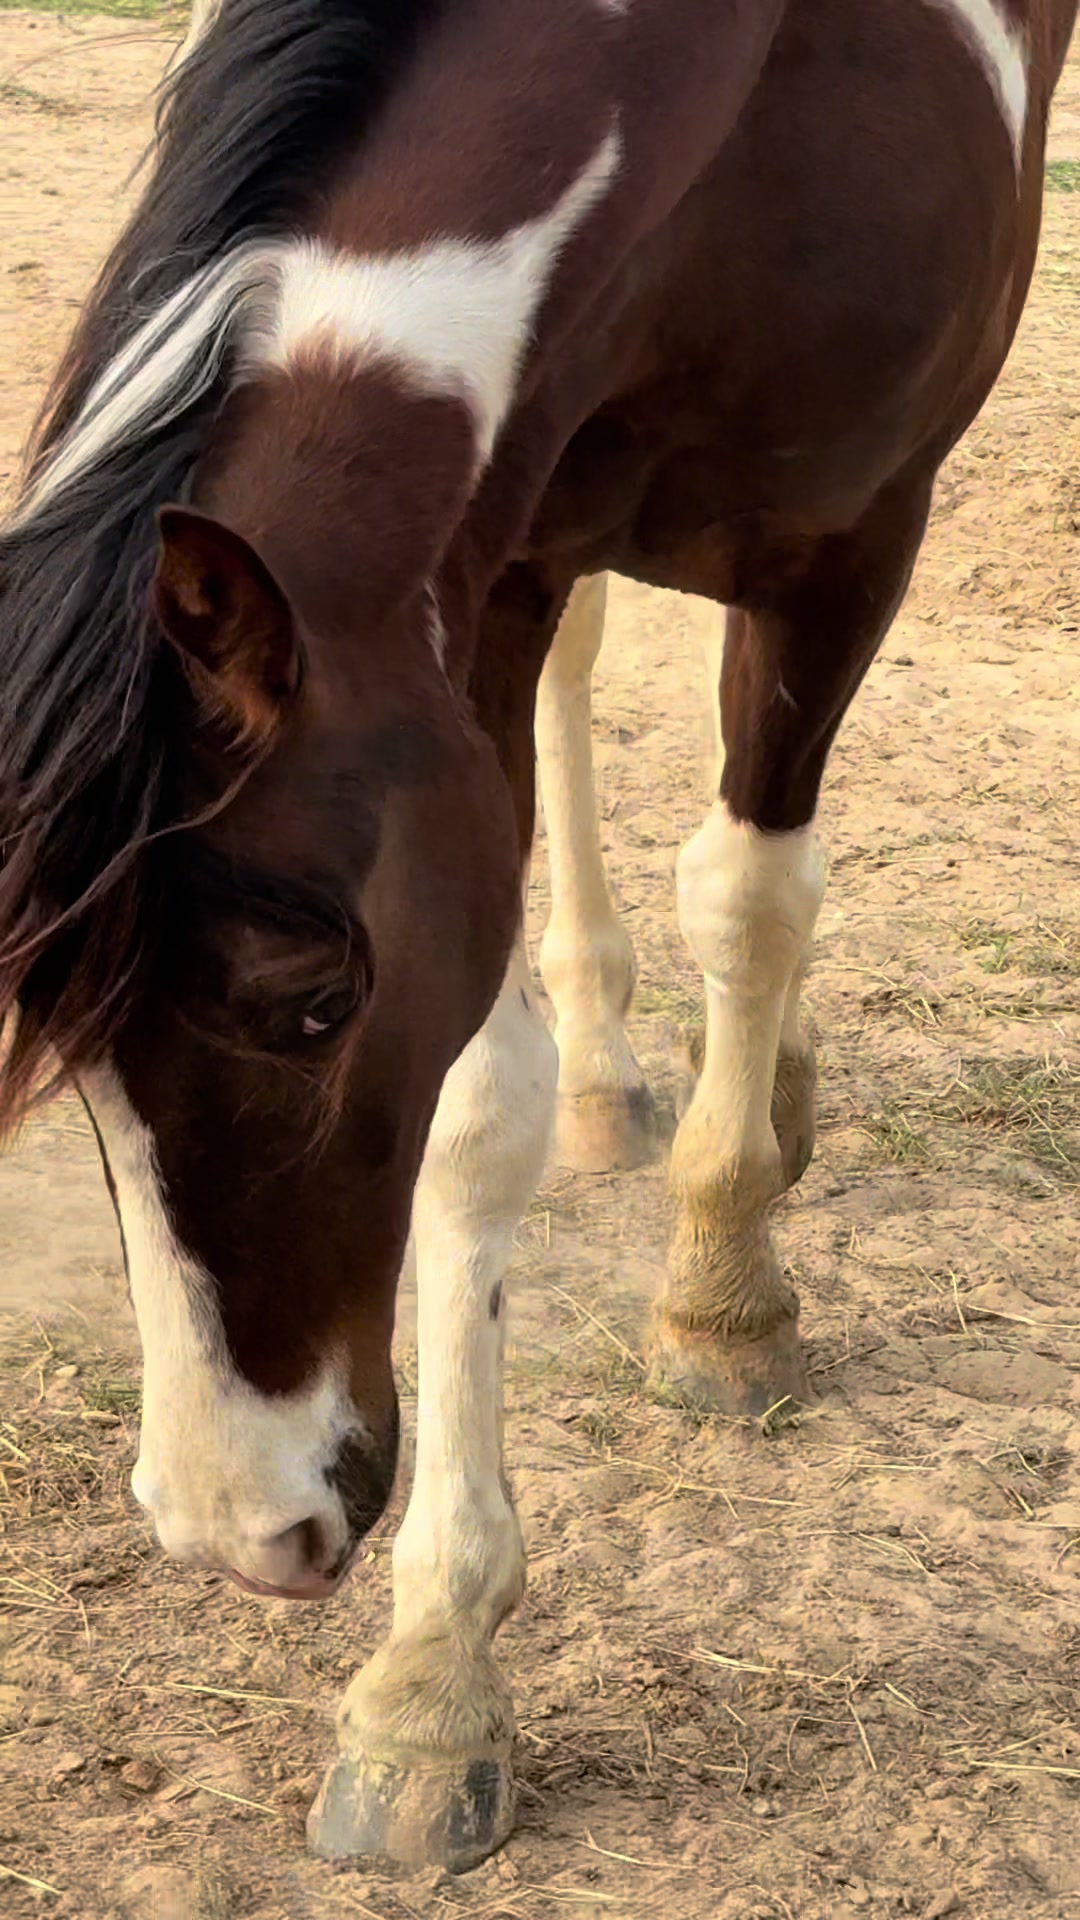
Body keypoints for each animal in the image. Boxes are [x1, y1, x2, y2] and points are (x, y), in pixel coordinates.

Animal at [0, 0, 1074, 1875]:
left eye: (309, 1004)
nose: (238, 1526)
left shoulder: (849, 545)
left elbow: (752, 889)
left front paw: (725, 1294)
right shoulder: (478, 592)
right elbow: (471, 1109)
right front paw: (433, 1682)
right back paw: (621, 1071)